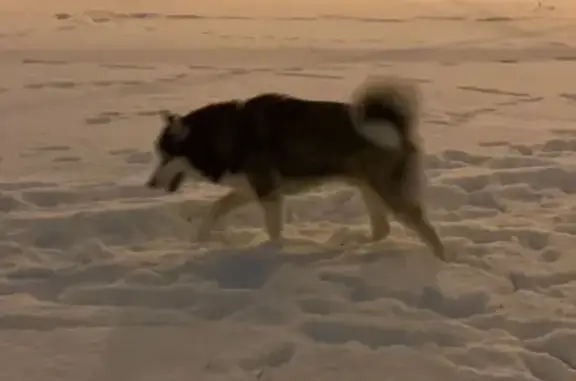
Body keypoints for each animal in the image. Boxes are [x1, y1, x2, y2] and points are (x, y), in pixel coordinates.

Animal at [145, 77, 446, 262]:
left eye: (166, 157)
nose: (150, 184)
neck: (225, 134)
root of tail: (396, 125)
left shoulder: (267, 191)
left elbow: (273, 229)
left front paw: (274, 251)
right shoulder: (253, 189)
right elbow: (216, 208)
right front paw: (200, 241)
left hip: (388, 190)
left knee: (423, 226)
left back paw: (443, 261)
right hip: (368, 187)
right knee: (382, 228)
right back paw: (354, 248)